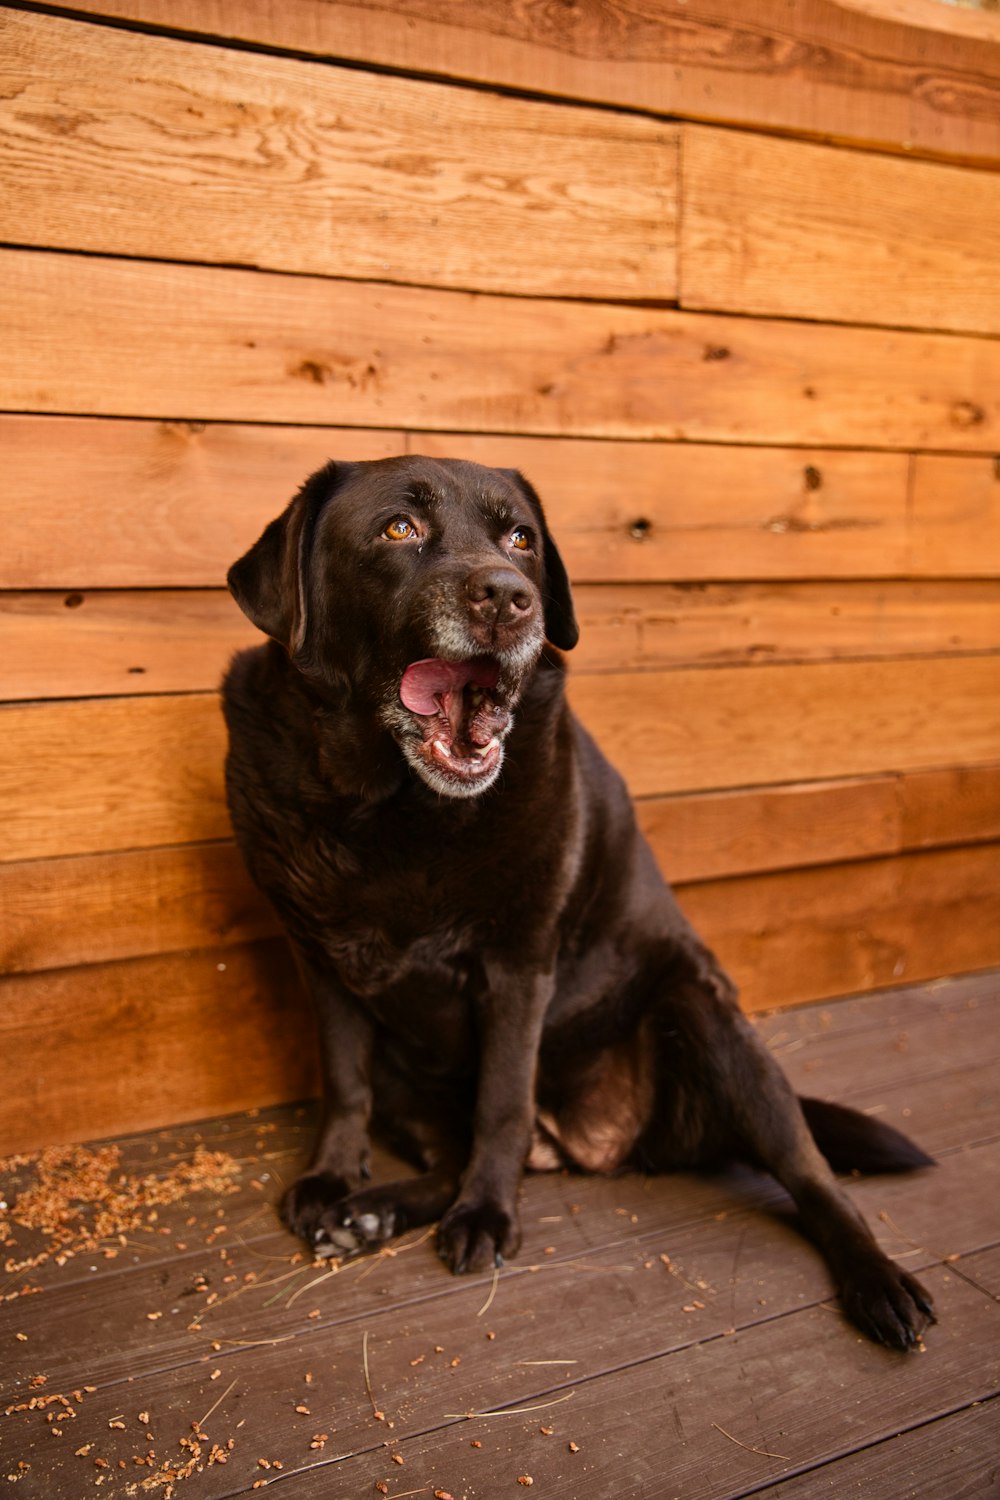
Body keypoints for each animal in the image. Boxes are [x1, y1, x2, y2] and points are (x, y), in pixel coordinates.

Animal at [223, 453, 935, 1350]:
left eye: (521, 539)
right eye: (399, 528)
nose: (508, 597)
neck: (386, 804)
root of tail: (587, 1144)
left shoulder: (519, 963)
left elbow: (502, 1100)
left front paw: (488, 1216)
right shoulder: (321, 960)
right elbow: (342, 1081)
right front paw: (330, 1179)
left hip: (704, 1014)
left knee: (810, 1174)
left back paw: (878, 1280)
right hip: (408, 1069)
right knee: (441, 1147)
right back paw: (372, 1211)